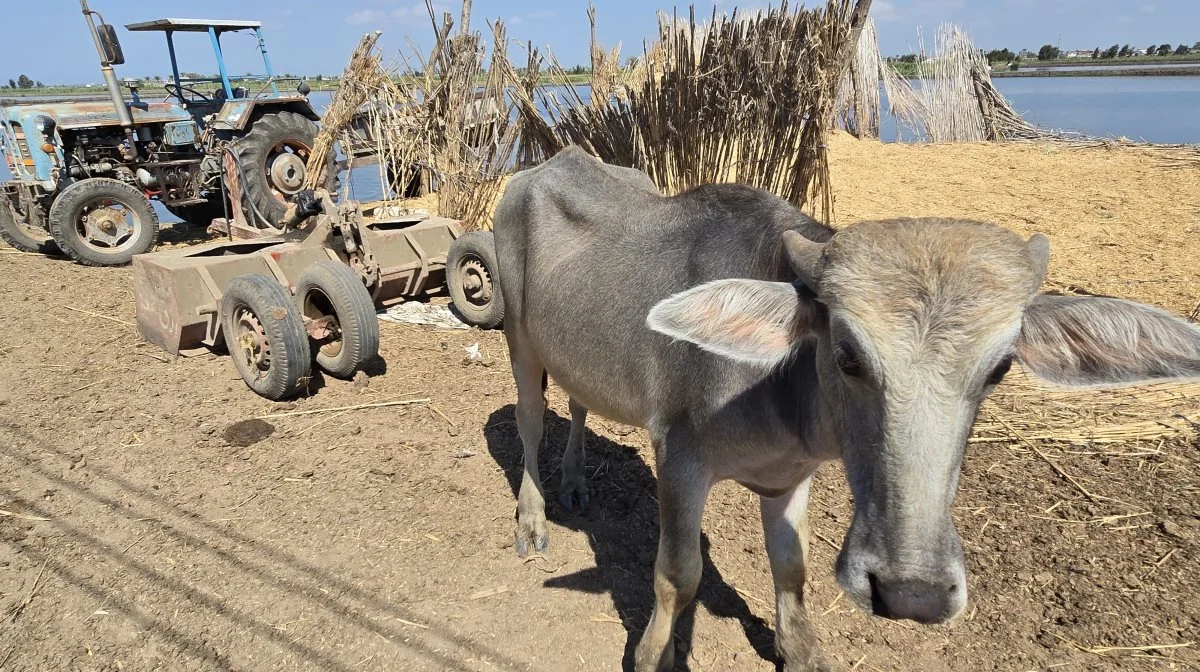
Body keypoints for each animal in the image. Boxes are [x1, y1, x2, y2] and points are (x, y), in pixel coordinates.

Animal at [489, 148, 1200, 672]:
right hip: (520, 338)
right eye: (847, 353)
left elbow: (791, 565)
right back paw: (533, 517)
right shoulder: (679, 456)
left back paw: (576, 484)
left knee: (579, 403)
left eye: (1000, 368)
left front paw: (799, 649)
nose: (912, 592)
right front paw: (651, 653)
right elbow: (677, 575)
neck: (776, 392)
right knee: (530, 419)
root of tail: (537, 168)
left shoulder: (790, 478)